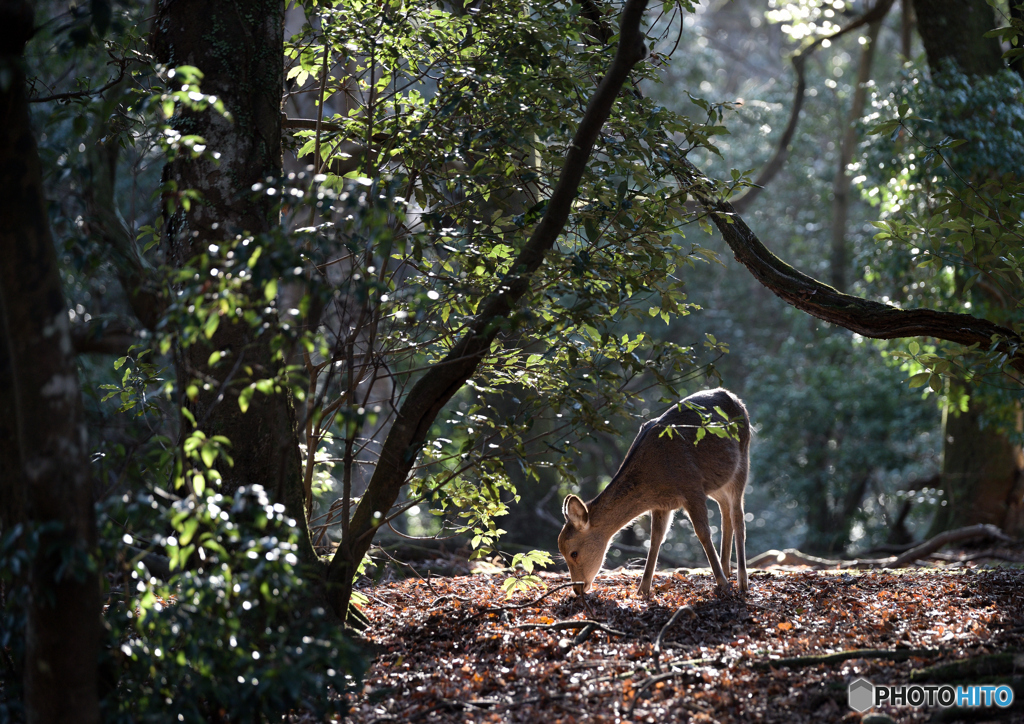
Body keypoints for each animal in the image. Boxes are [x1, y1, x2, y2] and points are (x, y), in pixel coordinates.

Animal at [561, 387, 753, 598]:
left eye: (574, 553)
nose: (578, 588)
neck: (654, 481)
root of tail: (735, 398)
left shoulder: (692, 487)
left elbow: (703, 533)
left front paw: (723, 584)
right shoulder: (663, 504)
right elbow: (655, 540)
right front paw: (642, 590)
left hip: (742, 462)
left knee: (738, 517)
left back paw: (741, 581)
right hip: (716, 483)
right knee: (725, 509)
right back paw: (727, 570)